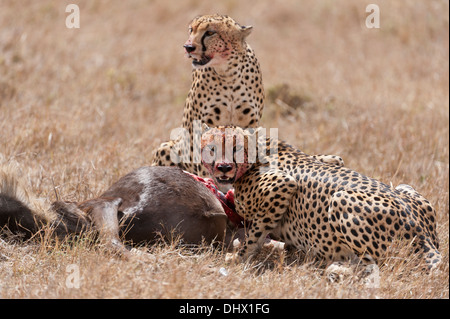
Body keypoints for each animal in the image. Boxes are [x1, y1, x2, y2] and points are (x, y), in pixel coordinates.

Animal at [201, 126, 442, 272]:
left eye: (235, 148)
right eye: (212, 149)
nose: (224, 167)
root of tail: (421, 232)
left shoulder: (282, 185)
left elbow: (255, 235)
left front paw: (237, 258)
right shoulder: (333, 159)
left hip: (340, 200)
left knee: (377, 265)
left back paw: (336, 268)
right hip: (404, 188)